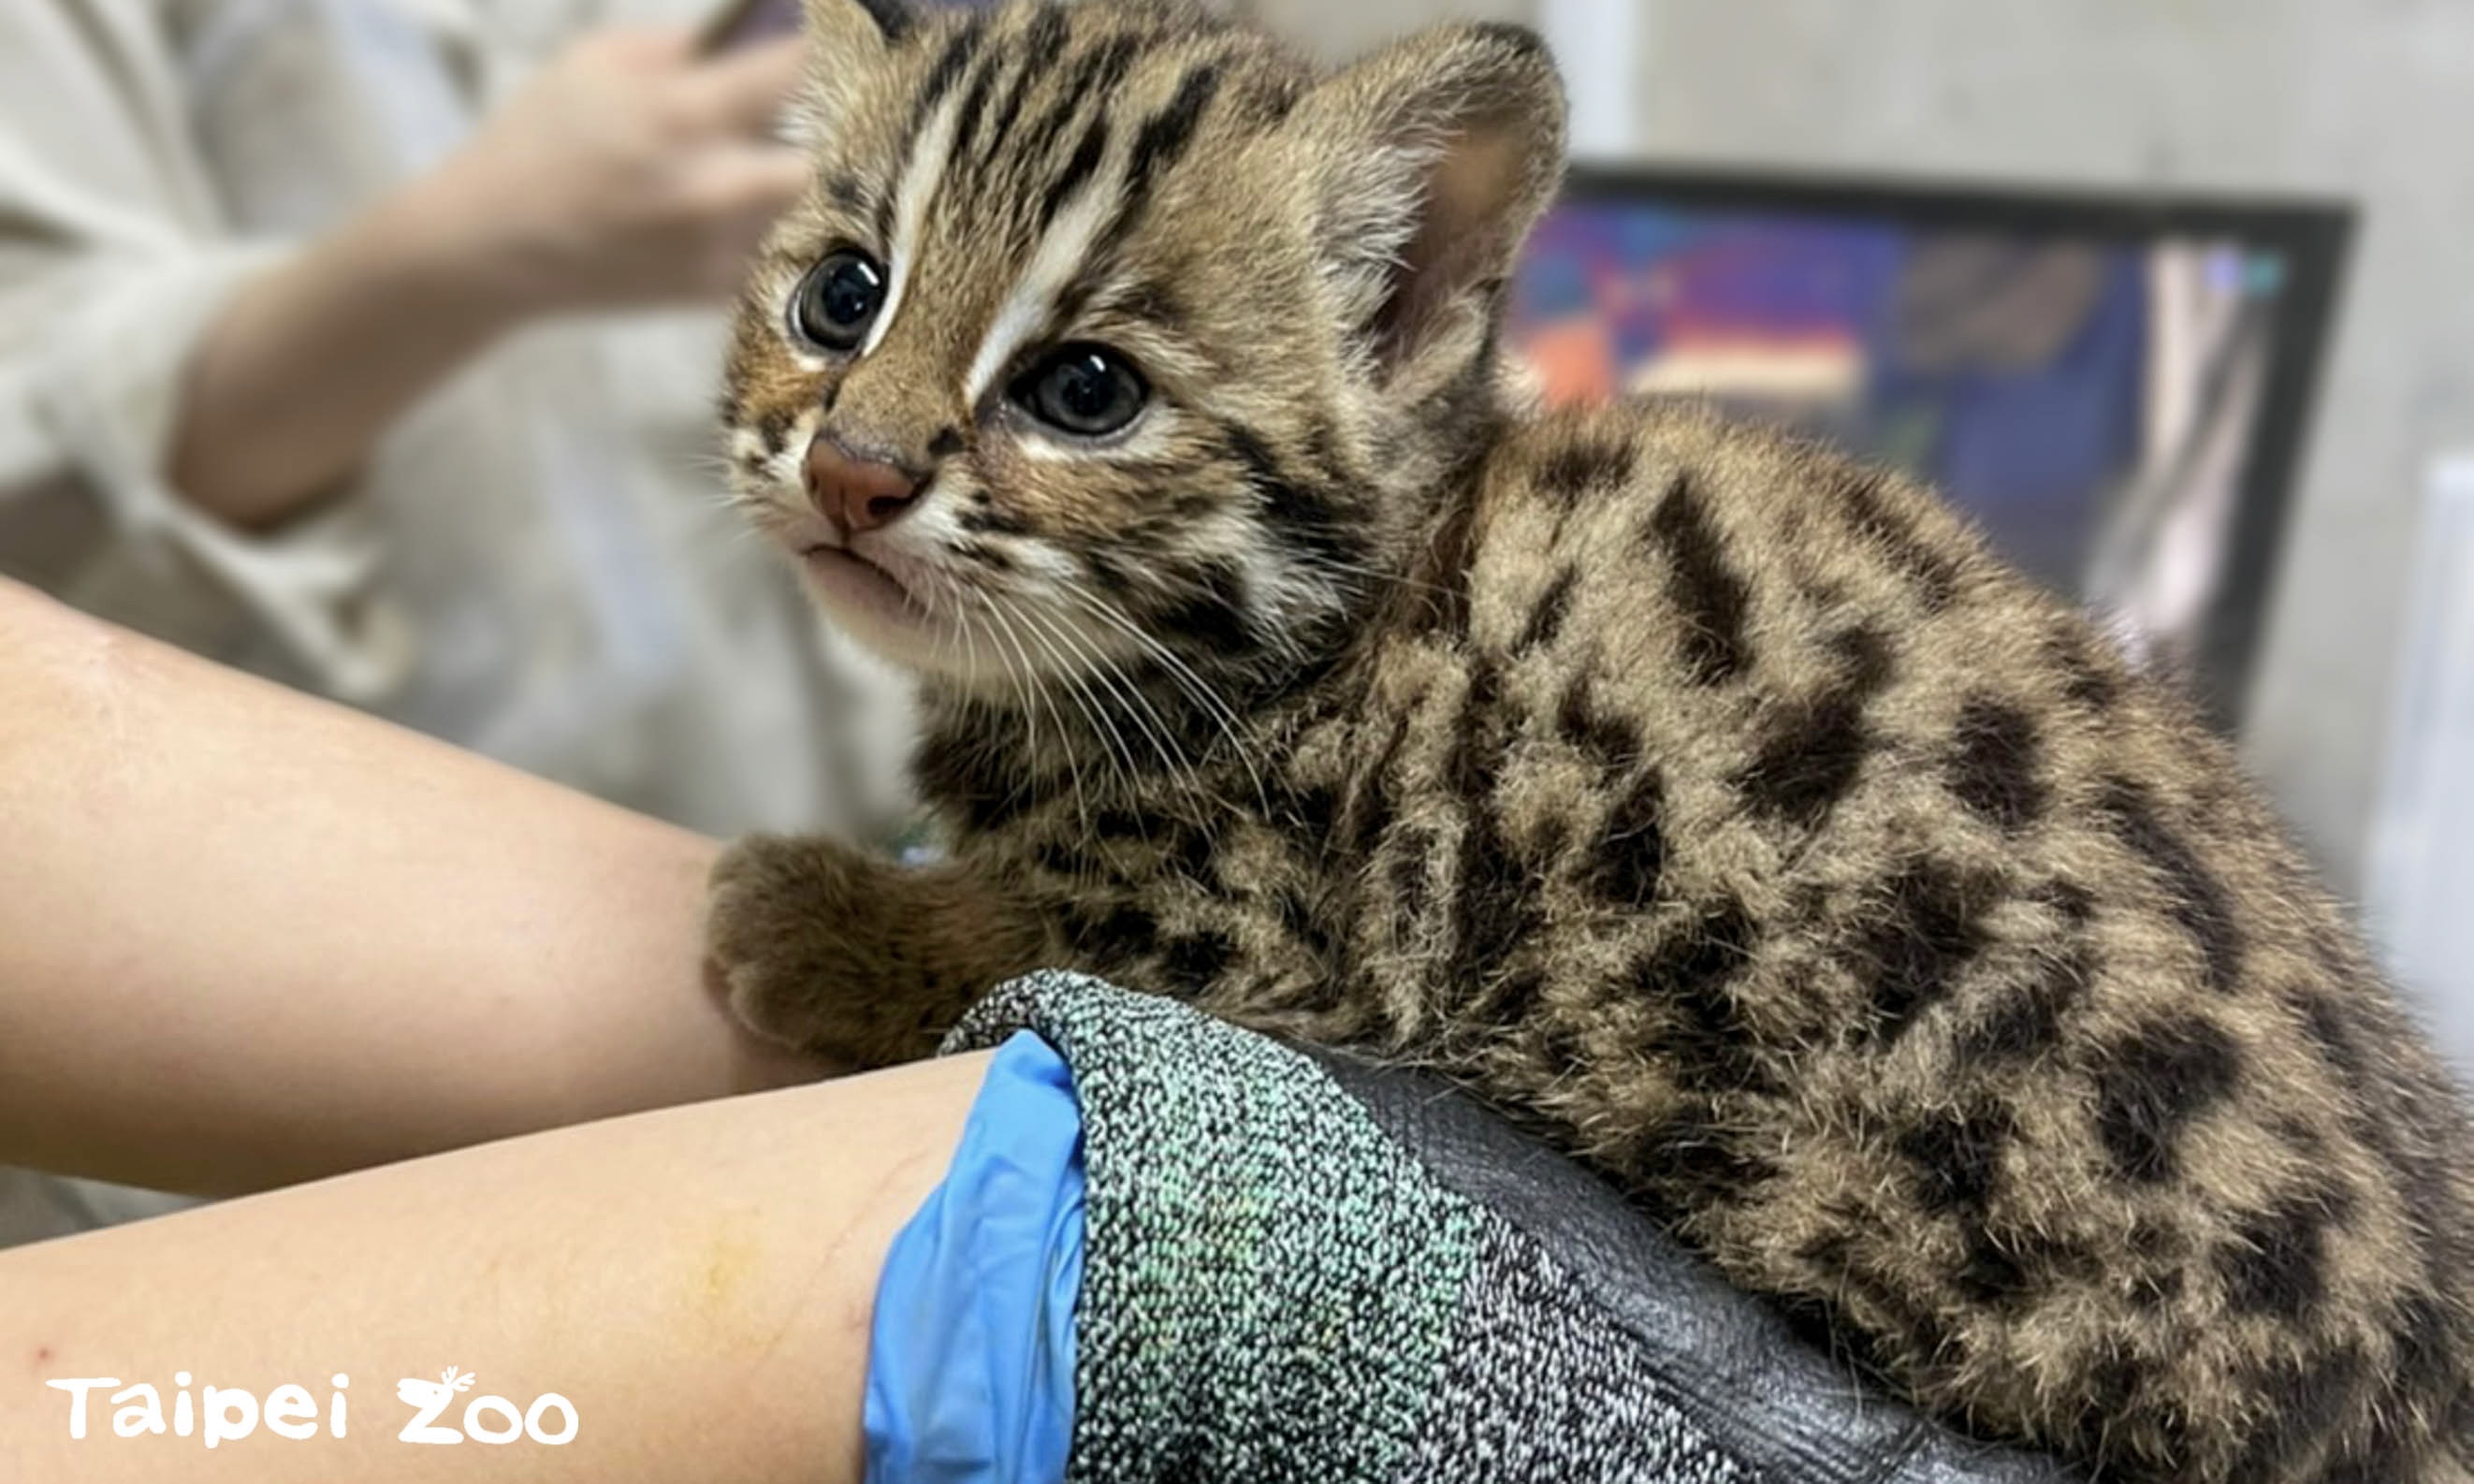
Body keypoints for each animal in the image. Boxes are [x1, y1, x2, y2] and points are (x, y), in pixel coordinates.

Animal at [712, 6, 2474, 1474]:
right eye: (840, 298)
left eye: (1085, 389)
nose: (853, 470)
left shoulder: (1290, 924)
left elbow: (1022, 923)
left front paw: (819, 916)